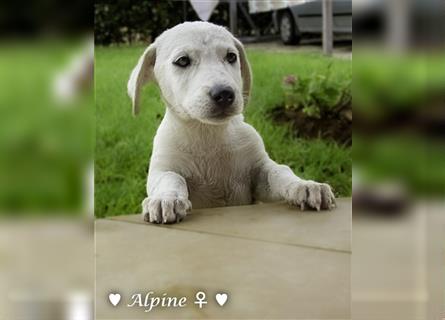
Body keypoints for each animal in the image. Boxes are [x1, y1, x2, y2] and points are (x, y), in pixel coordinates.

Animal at [126, 21, 334, 224]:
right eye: (182, 60)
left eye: (231, 57)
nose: (224, 94)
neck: (208, 134)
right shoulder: (163, 168)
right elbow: (171, 178)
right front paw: (166, 198)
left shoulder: (259, 173)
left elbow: (279, 172)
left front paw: (304, 185)